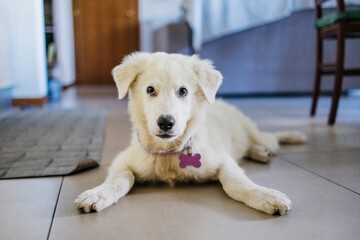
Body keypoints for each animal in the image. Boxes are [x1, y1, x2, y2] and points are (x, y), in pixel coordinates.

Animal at [74, 52, 306, 216]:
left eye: (183, 91)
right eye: (150, 90)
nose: (165, 122)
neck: (168, 153)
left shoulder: (222, 160)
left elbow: (236, 183)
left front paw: (265, 195)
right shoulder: (123, 160)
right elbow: (119, 179)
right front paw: (97, 193)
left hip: (255, 132)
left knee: (271, 138)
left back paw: (292, 136)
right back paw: (261, 153)